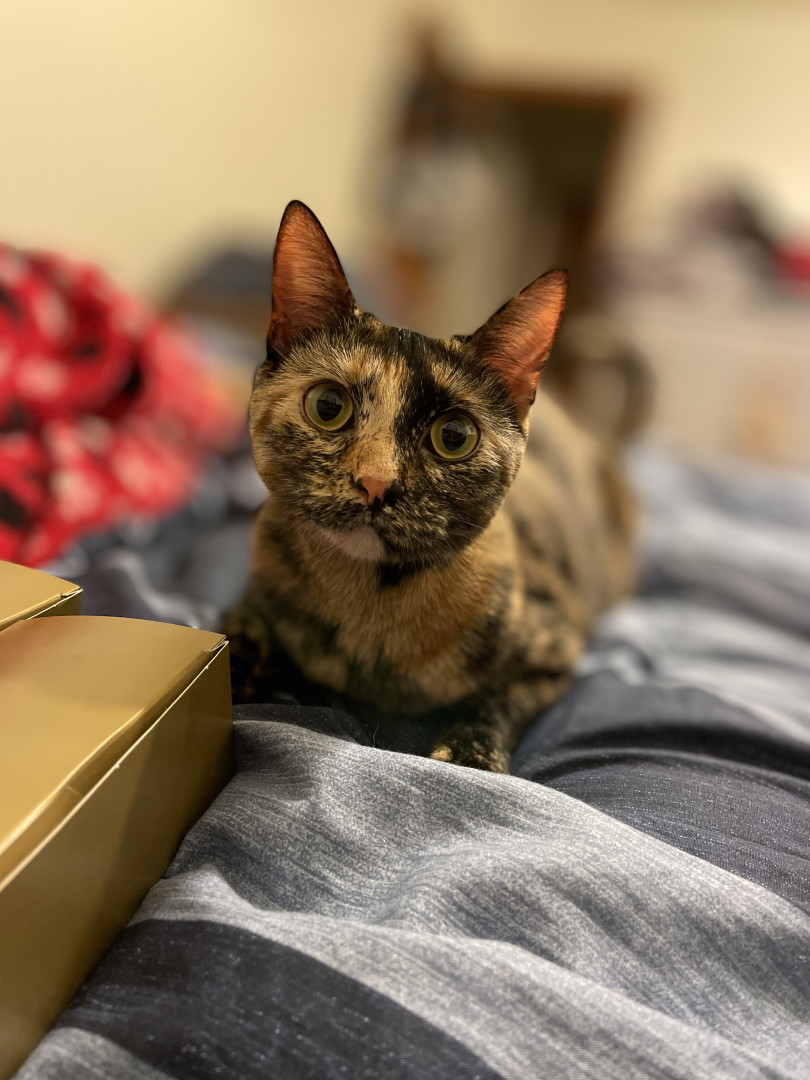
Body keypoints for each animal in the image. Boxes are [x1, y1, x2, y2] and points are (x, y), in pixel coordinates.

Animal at [224, 200, 637, 771]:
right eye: (328, 406)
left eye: (454, 436)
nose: (375, 483)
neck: (370, 608)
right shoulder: (251, 594)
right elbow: (234, 639)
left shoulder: (555, 649)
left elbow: (500, 699)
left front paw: (468, 753)